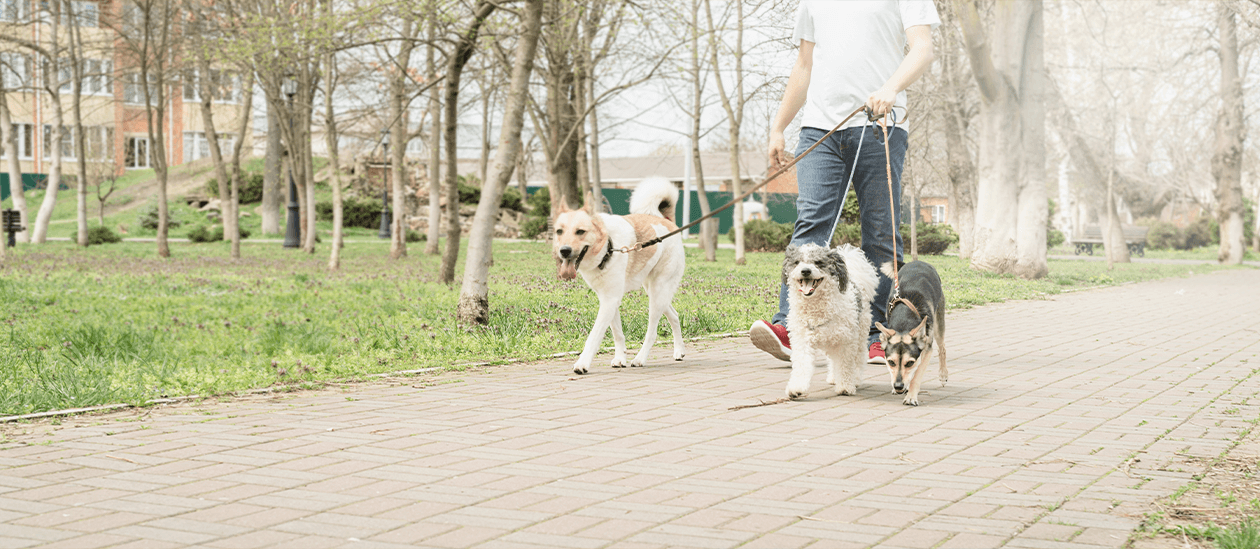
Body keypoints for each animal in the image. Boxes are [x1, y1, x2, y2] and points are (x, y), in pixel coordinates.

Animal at [554, 177, 685, 375]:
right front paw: (620, 359)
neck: (608, 247)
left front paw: (582, 363)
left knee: (652, 331)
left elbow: (594, 336)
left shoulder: (610, 300)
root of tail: (665, 221)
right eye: (559, 232)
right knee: (674, 315)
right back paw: (678, 351)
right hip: (656, 291)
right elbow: (617, 333)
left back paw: (640, 358)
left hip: (658, 292)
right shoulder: (609, 299)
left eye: (580, 231)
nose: (564, 251)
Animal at [781, 244, 882, 397]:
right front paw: (796, 388)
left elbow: (845, 365)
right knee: (833, 361)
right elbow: (802, 364)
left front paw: (845, 386)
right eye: (797, 262)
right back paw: (834, 378)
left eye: (818, 262)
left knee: (858, 358)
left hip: (859, 334)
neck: (816, 311)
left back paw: (855, 379)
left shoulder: (846, 341)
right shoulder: (802, 339)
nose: (805, 271)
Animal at [876, 261, 947, 407]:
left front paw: (911, 397)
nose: (898, 386)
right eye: (891, 362)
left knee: (942, 348)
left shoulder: (926, 350)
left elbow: (916, 376)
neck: (904, 320)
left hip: (938, 323)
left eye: (909, 363)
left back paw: (943, 375)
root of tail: (917, 261)